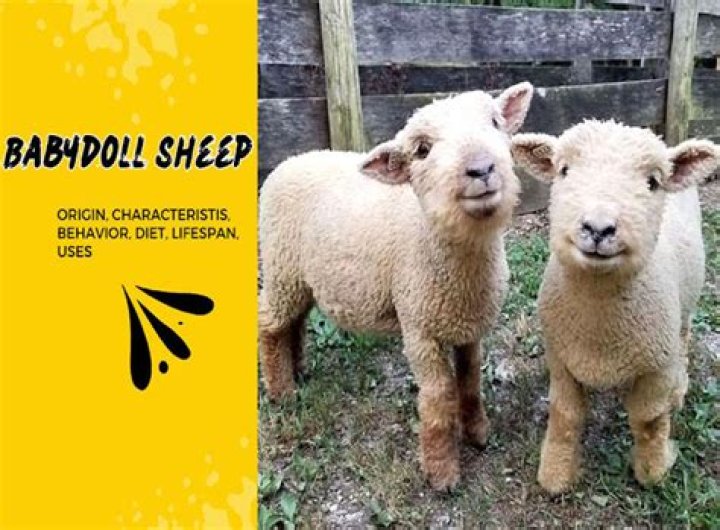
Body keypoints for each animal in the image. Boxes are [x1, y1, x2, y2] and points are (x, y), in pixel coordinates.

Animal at [259, 83, 534, 490]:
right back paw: (282, 392)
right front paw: (442, 471)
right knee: (270, 325)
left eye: (496, 122)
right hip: (281, 265)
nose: (481, 169)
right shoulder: (418, 327)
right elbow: (437, 396)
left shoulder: (468, 324)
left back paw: (298, 370)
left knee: (294, 321)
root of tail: (290, 160)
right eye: (422, 150)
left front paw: (478, 433)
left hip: (301, 278)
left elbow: (470, 378)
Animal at [511, 121, 718, 494]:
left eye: (653, 182)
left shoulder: (657, 366)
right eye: (563, 170)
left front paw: (655, 468)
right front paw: (556, 473)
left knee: (684, 339)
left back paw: (679, 391)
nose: (598, 228)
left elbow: (648, 420)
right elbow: (565, 413)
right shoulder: (561, 358)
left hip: (684, 310)